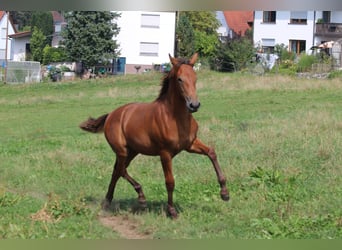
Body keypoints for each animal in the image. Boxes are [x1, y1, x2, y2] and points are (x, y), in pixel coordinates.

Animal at [80, 53, 230, 219]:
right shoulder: (165, 153)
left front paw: (225, 193)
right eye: (180, 79)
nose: (194, 105)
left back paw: (108, 202)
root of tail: (112, 115)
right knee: (120, 170)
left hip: (132, 151)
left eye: (195, 77)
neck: (174, 118)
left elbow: (211, 152)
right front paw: (171, 211)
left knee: (117, 171)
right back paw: (141, 197)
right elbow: (170, 181)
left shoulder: (190, 144)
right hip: (122, 151)